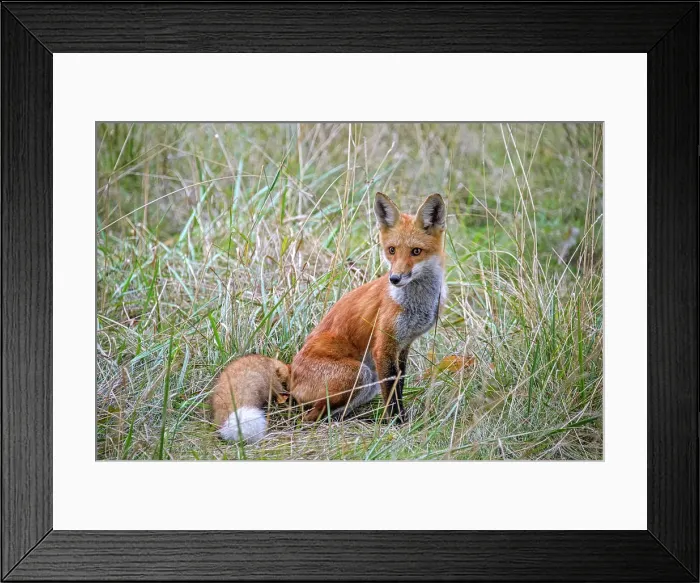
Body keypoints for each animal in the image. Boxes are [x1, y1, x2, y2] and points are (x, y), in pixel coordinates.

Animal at [290, 192, 447, 424]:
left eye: (416, 251)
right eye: (391, 250)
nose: (394, 279)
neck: (416, 304)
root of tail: (289, 373)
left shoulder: (403, 345)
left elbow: (399, 385)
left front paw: (400, 419)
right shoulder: (383, 347)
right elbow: (391, 395)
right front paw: (396, 423)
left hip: (369, 383)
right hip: (360, 374)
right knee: (311, 415)